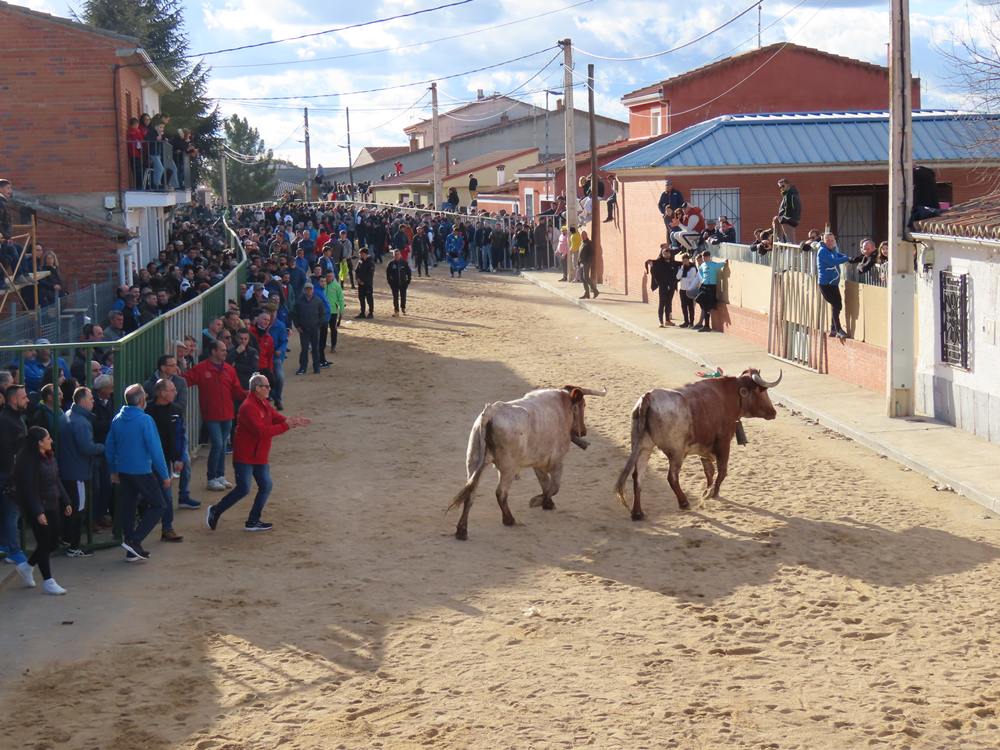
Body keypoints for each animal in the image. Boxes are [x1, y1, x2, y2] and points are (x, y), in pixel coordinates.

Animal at [608, 368, 780, 520]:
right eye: (761, 391)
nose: (773, 412)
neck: (728, 395)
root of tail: (648, 397)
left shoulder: (704, 447)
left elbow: (709, 470)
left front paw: (708, 490)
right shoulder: (724, 442)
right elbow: (722, 470)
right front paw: (712, 493)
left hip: (643, 447)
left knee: (638, 476)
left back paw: (637, 513)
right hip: (676, 453)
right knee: (671, 477)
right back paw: (684, 502)